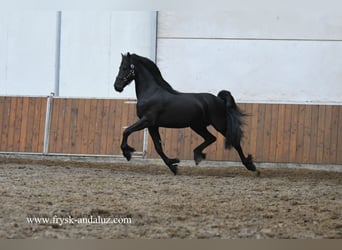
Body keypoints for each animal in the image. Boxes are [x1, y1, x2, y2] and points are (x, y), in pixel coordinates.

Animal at [113, 52, 255, 175]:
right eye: (119, 67)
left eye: (125, 67)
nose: (117, 86)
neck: (151, 92)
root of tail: (219, 100)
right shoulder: (153, 125)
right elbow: (158, 147)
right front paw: (173, 165)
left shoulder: (146, 120)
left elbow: (126, 131)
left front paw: (127, 153)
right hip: (197, 126)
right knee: (211, 138)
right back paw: (198, 155)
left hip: (219, 124)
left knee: (234, 142)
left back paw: (250, 165)